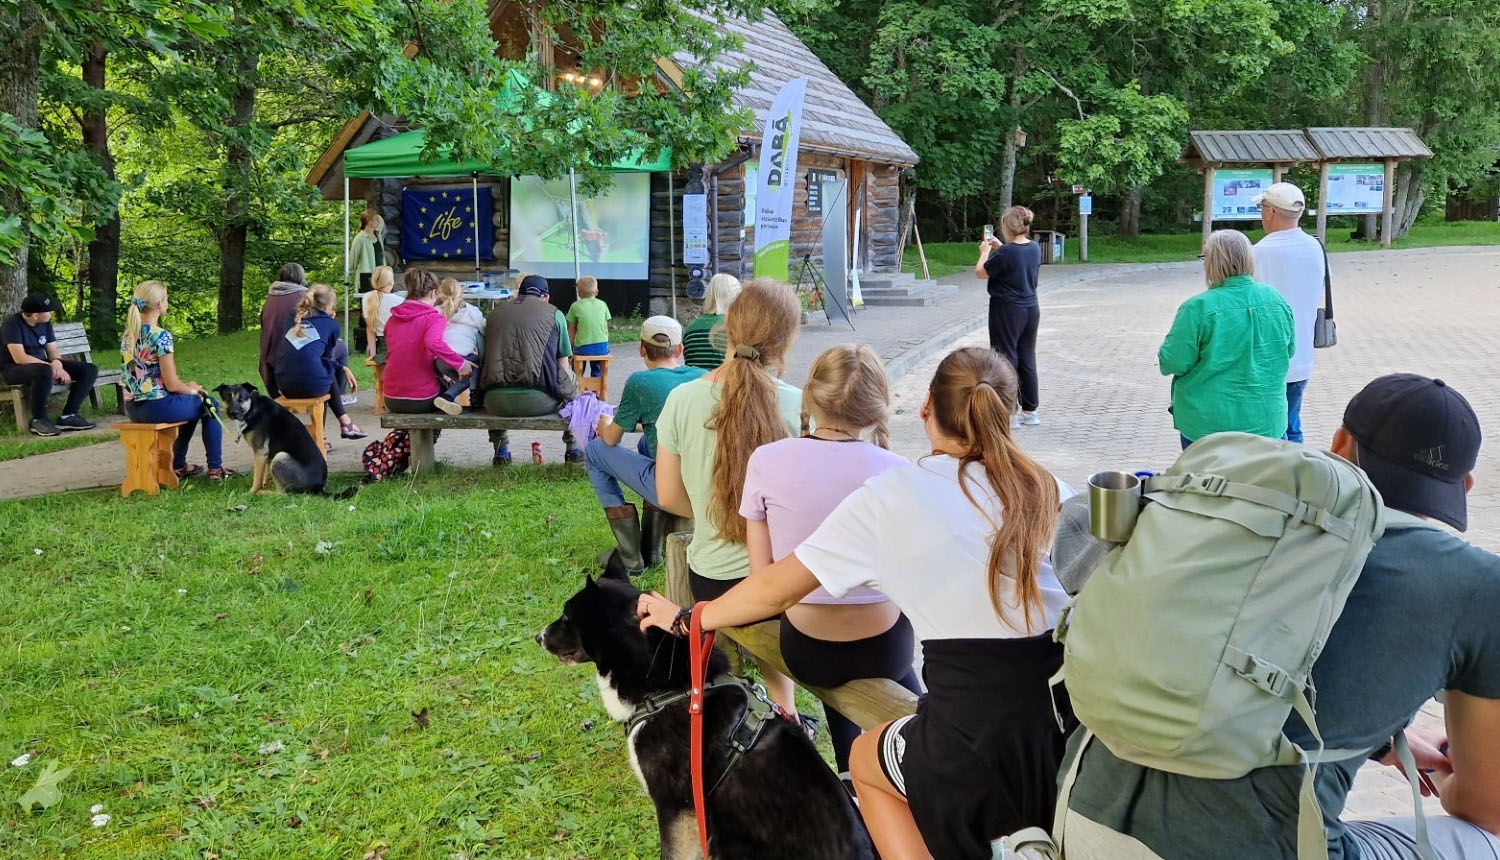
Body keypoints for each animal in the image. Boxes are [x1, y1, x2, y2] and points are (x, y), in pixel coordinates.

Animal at [214, 382, 354, 495]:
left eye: (241, 399)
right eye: (227, 398)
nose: (233, 413)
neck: (252, 409)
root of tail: (318, 488)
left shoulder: (260, 452)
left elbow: (257, 477)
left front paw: (252, 492)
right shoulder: (267, 454)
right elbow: (265, 474)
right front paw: (265, 484)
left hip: (280, 456)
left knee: (283, 494)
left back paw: (264, 493)